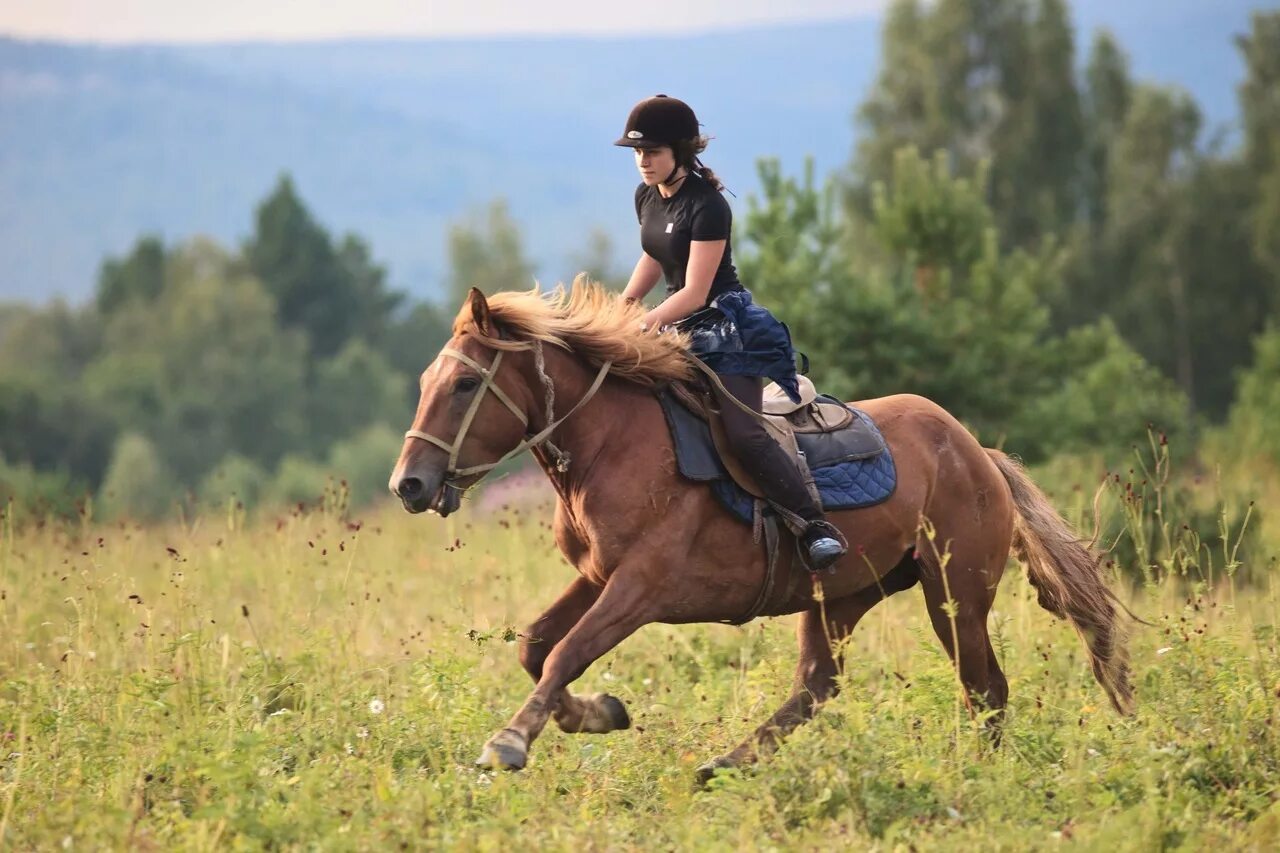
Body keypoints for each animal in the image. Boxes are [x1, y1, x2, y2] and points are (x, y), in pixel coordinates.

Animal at [386, 280, 1131, 783]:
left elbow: (567, 650)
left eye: (464, 384)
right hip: (843, 595)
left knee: (985, 689)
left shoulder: (641, 586)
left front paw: (510, 740)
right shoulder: (597, 577)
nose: (409, 484)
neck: (611, 444)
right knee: (818, 684)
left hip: (955, 595)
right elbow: (537, 647)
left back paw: (982, 775)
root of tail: (978, 454)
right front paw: (599, 712)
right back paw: (722, 765)